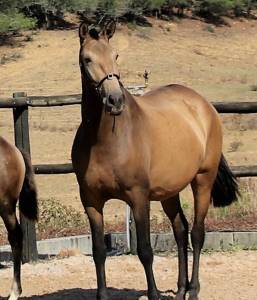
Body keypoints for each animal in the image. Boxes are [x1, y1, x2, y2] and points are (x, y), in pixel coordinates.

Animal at [70, 20, 238, 300]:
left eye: (115, 55)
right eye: (87, 59)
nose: (115, 100)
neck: (105, 141)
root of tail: (203, 105)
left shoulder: (138, 197)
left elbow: (145, 251)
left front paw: (154, 293)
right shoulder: (91, 200)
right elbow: (98, 252)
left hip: (203, 180)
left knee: (197, 233)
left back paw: (193, 290)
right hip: (169, 191)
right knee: (180, 230)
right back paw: (180, 290)